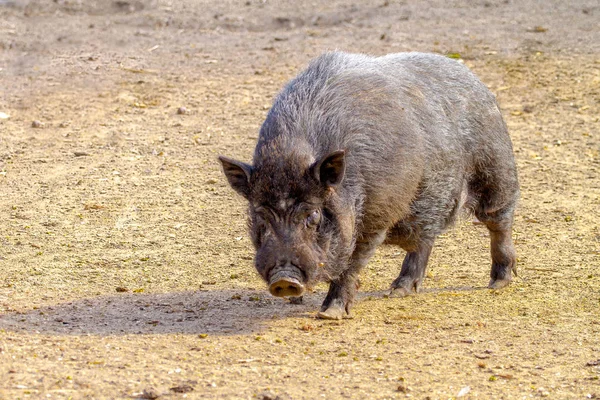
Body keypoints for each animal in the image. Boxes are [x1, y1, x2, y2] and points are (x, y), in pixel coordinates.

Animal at [218, 50, 516, 318]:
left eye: (312, 215)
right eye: (261, 215)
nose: (284, 280)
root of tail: (475, 79)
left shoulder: (375, 218)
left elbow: (351, 265)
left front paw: (330, 314)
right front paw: (297, 302)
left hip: (496, 169)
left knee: (499, 222)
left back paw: (498, 283)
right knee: (424, 240)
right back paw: (397, 291)